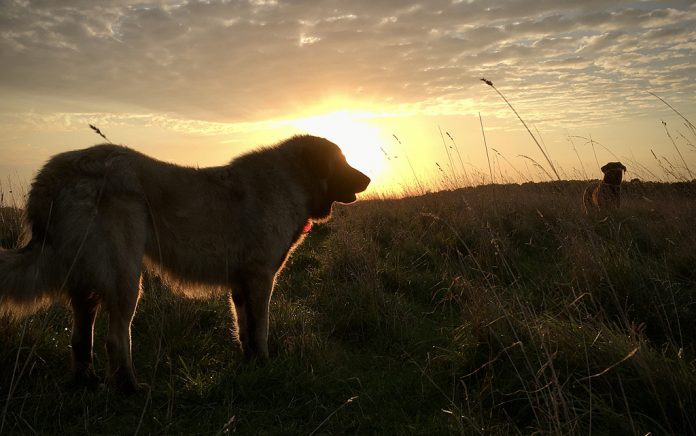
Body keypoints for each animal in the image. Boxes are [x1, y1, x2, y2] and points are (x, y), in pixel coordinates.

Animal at [0, 135, 372, 394]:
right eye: (342, 162)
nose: (368, 179)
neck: (291, 180)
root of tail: (55, 172)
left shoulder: (240, 285)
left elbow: (245, 330)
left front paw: (250, 365)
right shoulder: (260, 278)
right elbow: (261, 329)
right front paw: (266, 365)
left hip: (87, 283)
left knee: (81, 339)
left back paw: (88, 383)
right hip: (125, 278)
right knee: (116, 338)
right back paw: (131, 388)